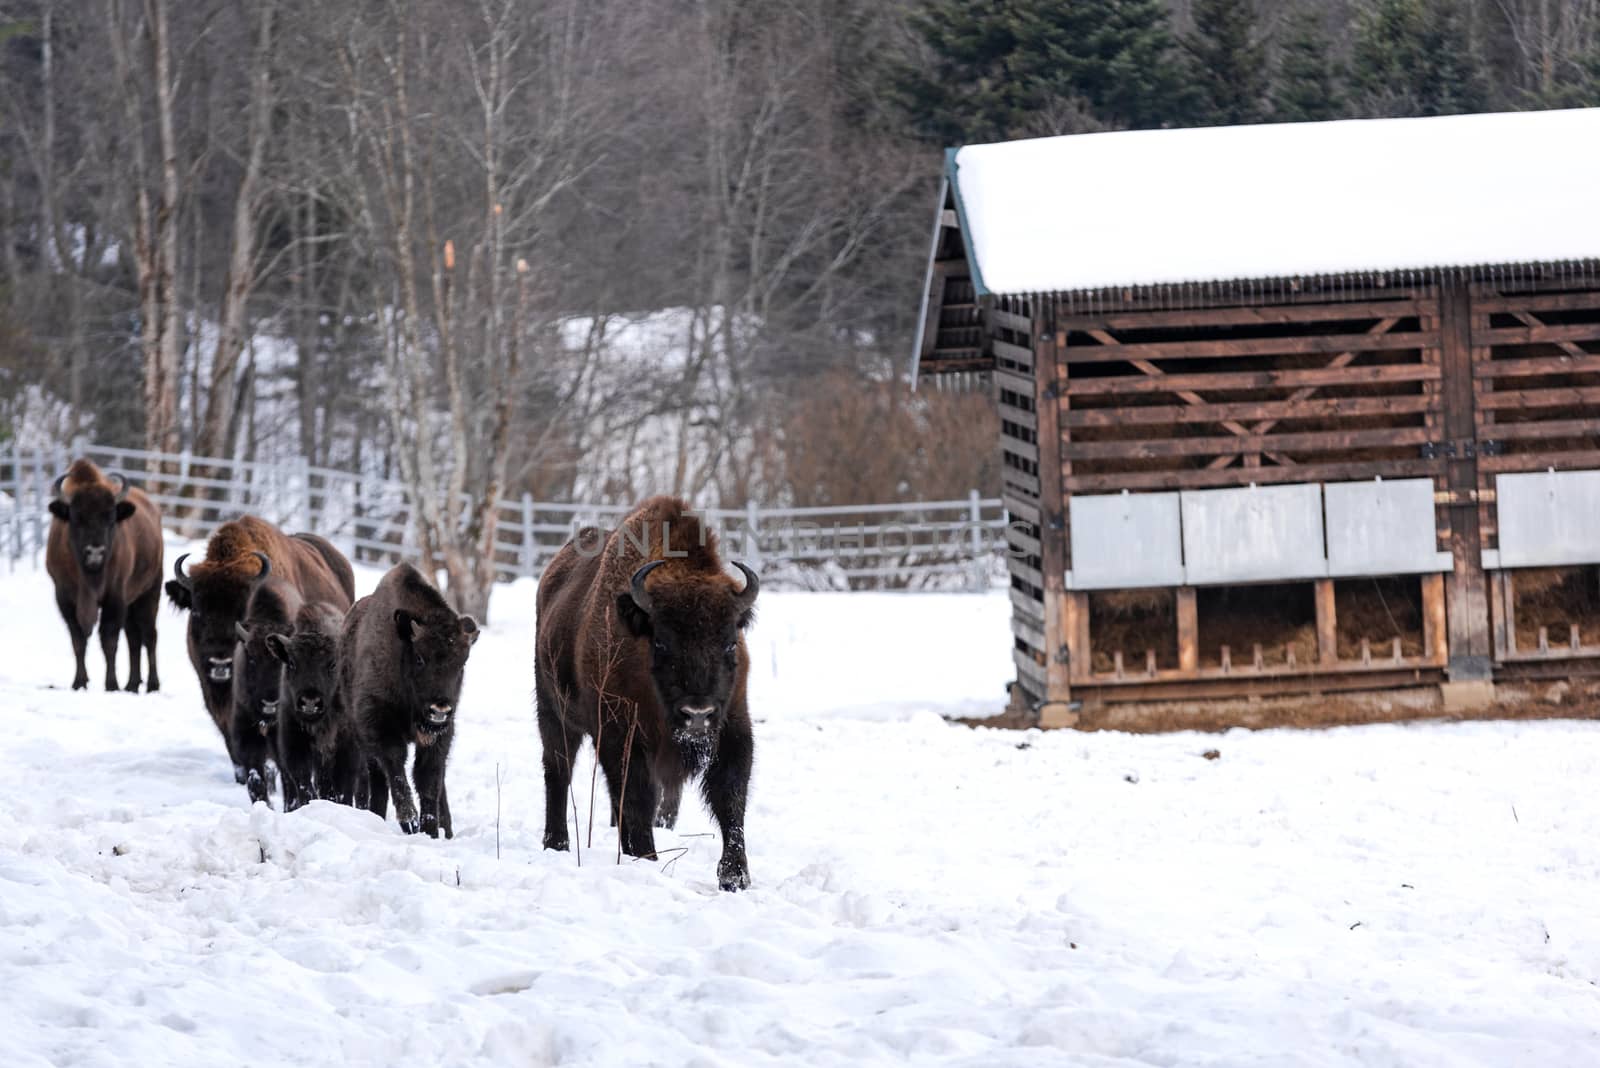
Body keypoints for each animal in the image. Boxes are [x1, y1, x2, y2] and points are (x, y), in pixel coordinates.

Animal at [45, 460, 164, 693]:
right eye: (76, 518)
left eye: (110, 518)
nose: (95, 552)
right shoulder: (64, 598)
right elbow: (78, 640)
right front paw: (79, 682)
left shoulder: (115, 598)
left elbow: (109, 640)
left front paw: (111, 685)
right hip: (132, 602)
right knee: (134, 638)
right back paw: (132, 684)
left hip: (150, 593)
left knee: (149, 635)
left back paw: (152, 685)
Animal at [267, 601, 364, 808]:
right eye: (292, 663)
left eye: (333, 664)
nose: (310, 702)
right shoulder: (294, 743)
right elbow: (304, 784)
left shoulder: (347, 749)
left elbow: (344, 789)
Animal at [340, 562, 476, 837]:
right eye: (420, 658)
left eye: (462, 663)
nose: (440, 708)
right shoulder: (378, 725)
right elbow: (395, 767)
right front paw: (410, 822)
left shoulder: (441, 736)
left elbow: (428, 779)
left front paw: (431, 830)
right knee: (377, 777)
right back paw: (377, 813)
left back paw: (446, 829)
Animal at [534, 495, 758, 888]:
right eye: (662, 642)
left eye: (731, 643)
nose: (697, 715)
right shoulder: (620, 736)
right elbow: (637, 797)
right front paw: (646, 858)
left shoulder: (733, 726)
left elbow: (730, 797)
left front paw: (735, 878)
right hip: (553, 713)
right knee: (558, 771)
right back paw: (556, 843)